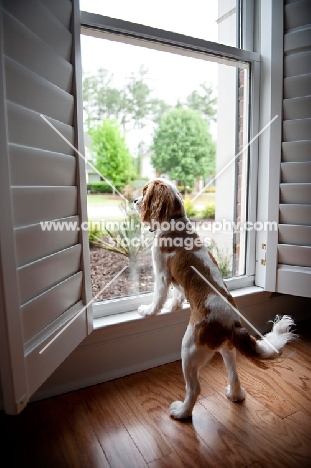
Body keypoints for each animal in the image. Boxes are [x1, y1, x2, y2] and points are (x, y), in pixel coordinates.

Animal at [133, 177, 294, 418]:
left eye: (144, 192)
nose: (134, 200)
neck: (175, 220)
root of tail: (232, 323)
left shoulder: (161, 271)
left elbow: (159, 295)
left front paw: (149, 311)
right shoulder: (176, 280)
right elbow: (177, 292)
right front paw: (174, 305)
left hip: (190, 349)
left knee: (195, 388)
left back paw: (182, 412)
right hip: (227, 349)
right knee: (234, 374)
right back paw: (236, 395)